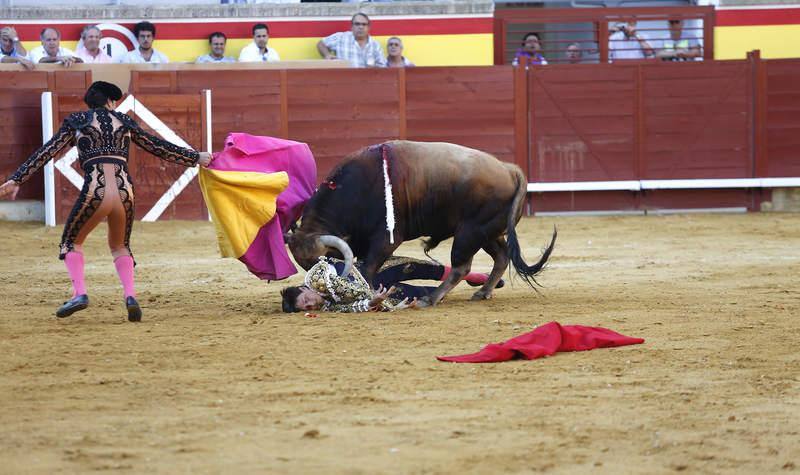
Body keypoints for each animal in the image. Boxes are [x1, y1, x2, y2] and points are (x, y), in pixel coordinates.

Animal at [288, 139, 556, 306]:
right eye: (304, 264)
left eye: (321, 260)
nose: (318, 290)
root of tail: (510, 170)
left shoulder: (386, 238)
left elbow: (368, 268)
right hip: (487, 231)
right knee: (501, 256)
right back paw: (483, 292)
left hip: (469, 232)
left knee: (462, 266)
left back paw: (432, 298)